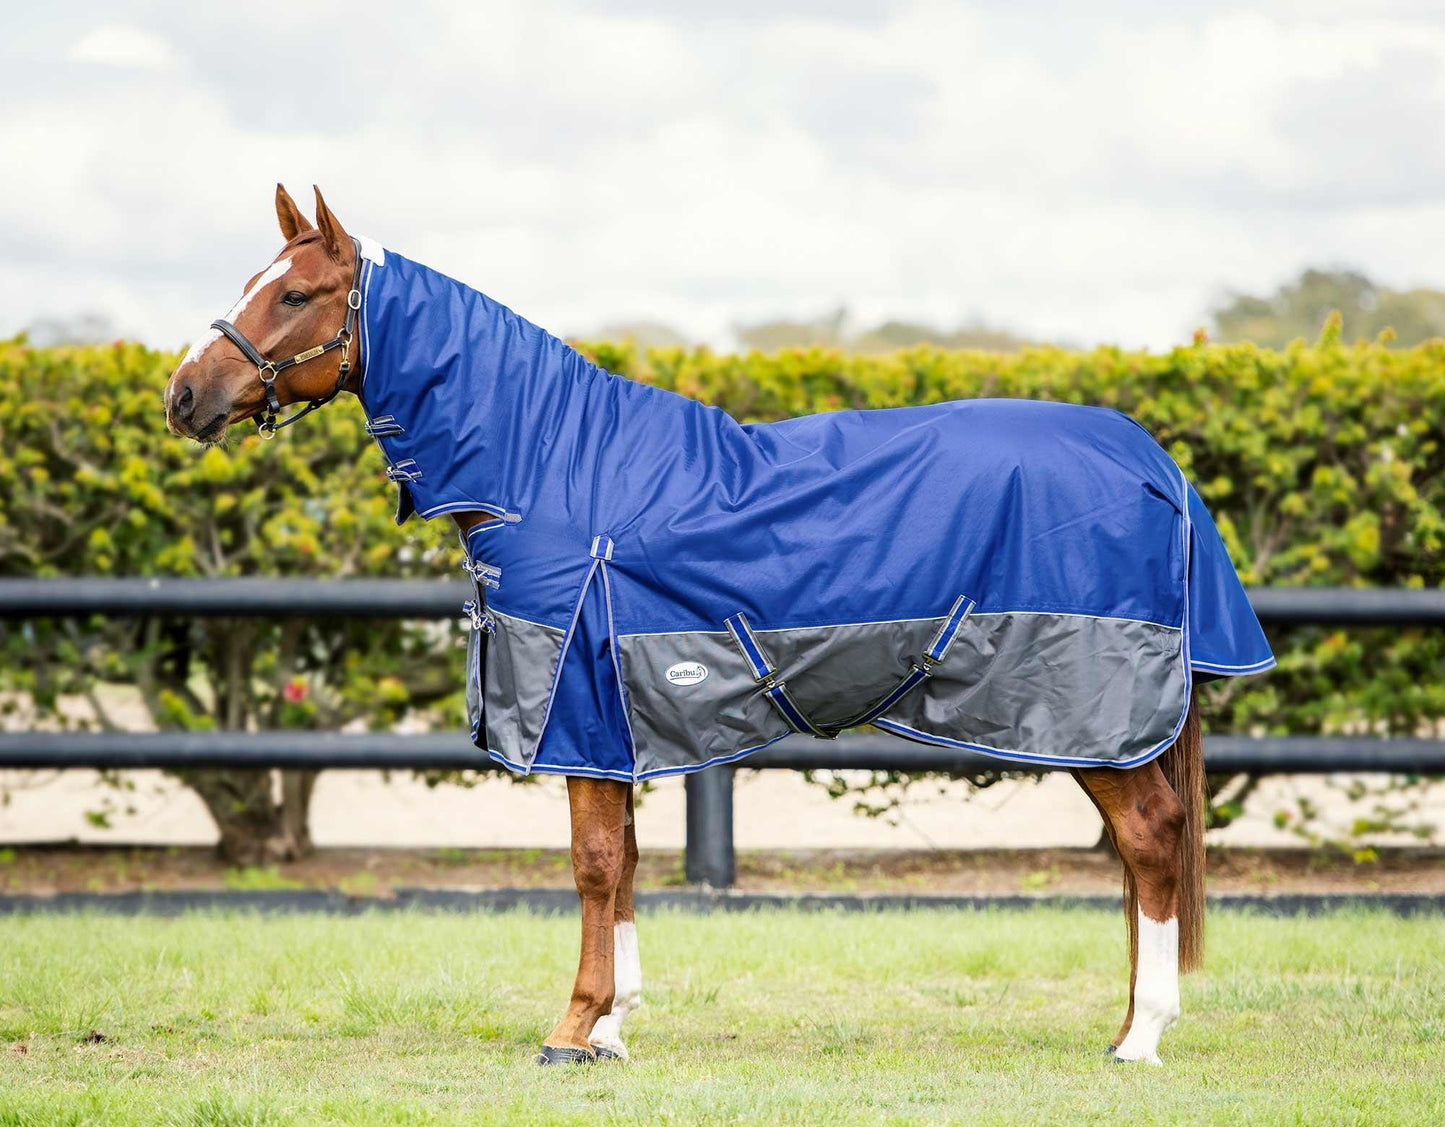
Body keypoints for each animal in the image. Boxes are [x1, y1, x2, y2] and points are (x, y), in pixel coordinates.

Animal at [164, 184, 1274, 1066]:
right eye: (258, 278)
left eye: (294, 293)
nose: (183, 395)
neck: (550, 462)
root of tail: (1149, 459)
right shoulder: (613, 721)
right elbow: (624, 864)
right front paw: (614, 1027)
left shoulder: (578, 706)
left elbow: (593, 863)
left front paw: (571, 1029)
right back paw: (1127, 1021)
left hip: (1091, 714)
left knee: (1150, 838)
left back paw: (1139, 1036)